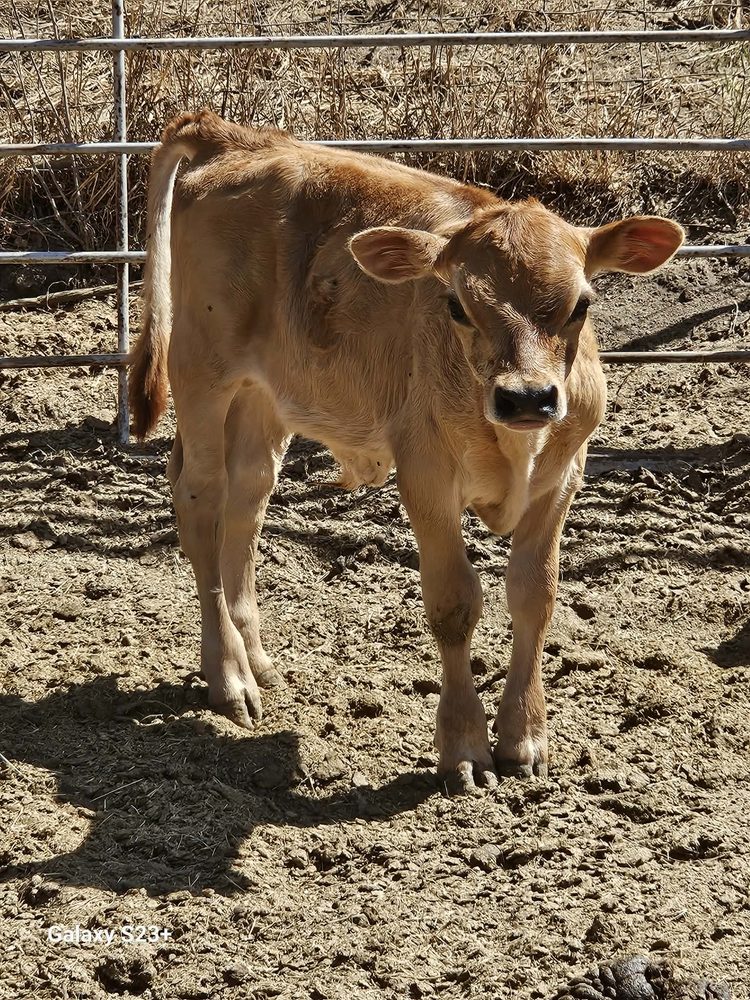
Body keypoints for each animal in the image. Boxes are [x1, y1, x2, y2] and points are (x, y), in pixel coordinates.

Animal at [129, 110, 684, 793]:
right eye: (457, 306)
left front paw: (525, 738)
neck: (514, 444)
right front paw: (465, 748)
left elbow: (536, 595)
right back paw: (229, 676)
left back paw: (256, 660)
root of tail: (230, 135)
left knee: (246, 498)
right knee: (200, 500)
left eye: (581, 304)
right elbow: (453, 602)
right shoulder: (426, 473)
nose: (527, 398)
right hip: (202, 372)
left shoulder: (562, 478)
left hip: (265, 396)